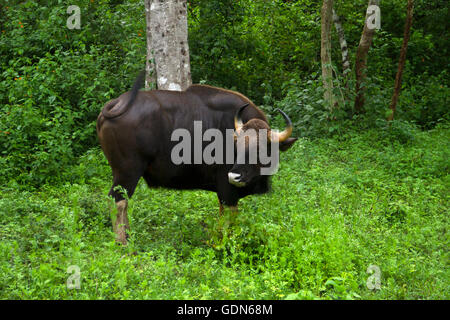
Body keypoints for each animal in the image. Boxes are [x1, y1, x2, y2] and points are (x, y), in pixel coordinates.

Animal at [96, 71, 298, 244]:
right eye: (237, 146)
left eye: (261, 148)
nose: (235, 176)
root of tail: (117, 104)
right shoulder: (227, 190)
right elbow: (229, 221)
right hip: (127, 172)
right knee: (117, 201)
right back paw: (123, 242)